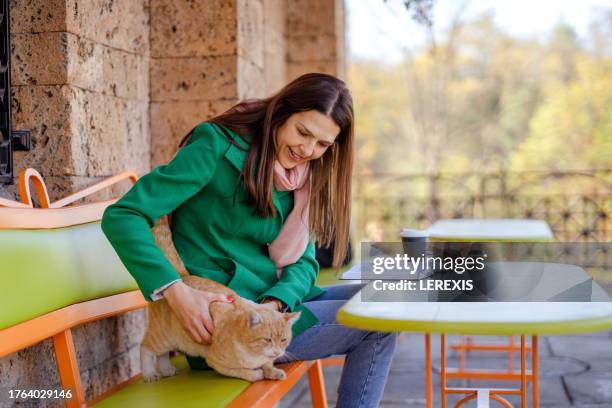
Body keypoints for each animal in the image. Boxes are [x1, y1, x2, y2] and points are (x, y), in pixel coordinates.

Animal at [142, 220, 298, 382]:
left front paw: (273, 371)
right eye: (267, 339)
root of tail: (182, 277)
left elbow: (268, 364)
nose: (277, 352)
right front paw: (257, 373)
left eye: (284, 340)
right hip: (162, 337)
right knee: (146, 348)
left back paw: (166, 369)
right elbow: (244, 372)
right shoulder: (215, 362)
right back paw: (149, 373)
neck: (254, 356)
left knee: (162, 354)